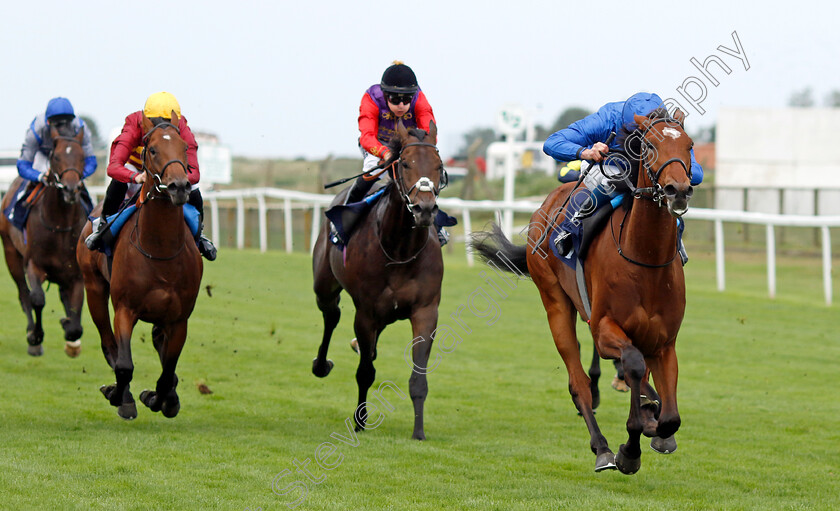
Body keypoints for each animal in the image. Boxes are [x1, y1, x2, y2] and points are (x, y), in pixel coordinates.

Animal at [0, 125, 87, 356]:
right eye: (55, 157)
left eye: (82, 156)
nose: (71, 189)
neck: (60, 225)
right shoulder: (34, 264)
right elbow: (37, 299)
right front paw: (36, 336)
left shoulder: (76, 274)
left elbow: (75, 321)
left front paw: (69, 331)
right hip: (11, 254)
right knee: (23, 293)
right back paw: (33, 339)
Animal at [76, 114, 203, 422]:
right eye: (153, 149)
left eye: (185, 148)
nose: (179, 186)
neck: (160, 250)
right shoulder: (125, 309)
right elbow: (124, 365)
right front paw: (121, 397)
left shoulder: (179, 319)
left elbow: (167, 372)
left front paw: (161, 399)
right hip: (93, 288)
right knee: (108, 343)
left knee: (159, 345)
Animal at [314, 121, 446, 440]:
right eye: (406, 163)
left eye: (438, 166)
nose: (425, 209)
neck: (400, 249)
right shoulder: (366, 312)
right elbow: (365, 373)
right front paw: (360, 421)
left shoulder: (426, 311)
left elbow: (418, 378)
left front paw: (419, 432)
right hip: (324, 284)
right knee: (331, 314)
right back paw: (321, 364)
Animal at [472, 110, 696, 474]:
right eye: (649, 145)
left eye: (689, 145)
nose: (678, 190)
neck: (645, 259)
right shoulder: (604, 329)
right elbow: (632, 364)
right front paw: (628, 450)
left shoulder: (664, 342)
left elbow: (670, 417)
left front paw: (655, 423)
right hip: (555, 302)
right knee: (578, 383)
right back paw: (602, 447)